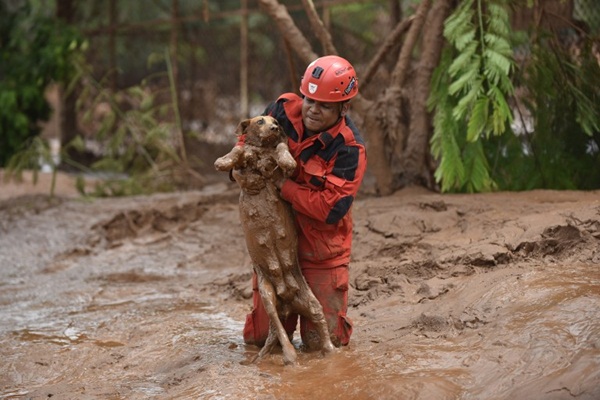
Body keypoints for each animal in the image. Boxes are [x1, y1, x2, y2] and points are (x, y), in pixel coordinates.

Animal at [213, 115, 336, 366]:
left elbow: (282, 149)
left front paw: (287, 160)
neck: (262, 149)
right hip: (267, 295)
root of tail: (287, 302)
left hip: (311, 301)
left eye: (276, 121)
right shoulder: (245, 154)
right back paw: (289, 355)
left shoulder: (279, 156)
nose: (275, 127)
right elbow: (238, 150)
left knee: (318, 322)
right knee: (279, 328)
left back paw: (324, 352)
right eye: (260, 121)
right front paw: (223, 161)